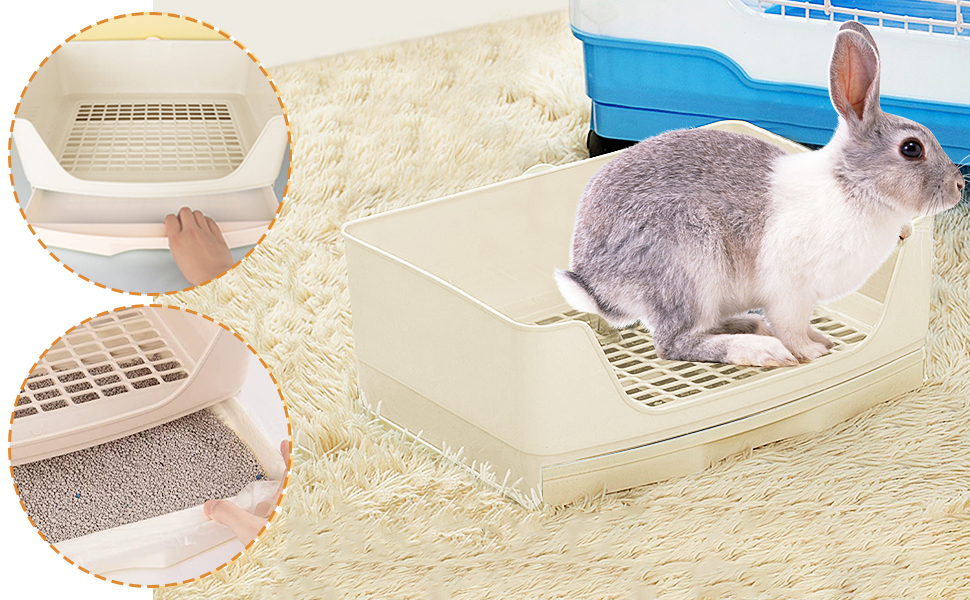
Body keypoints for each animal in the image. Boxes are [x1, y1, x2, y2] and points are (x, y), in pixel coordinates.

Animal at [555, 21, 964, 368]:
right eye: (911, 149)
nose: (959, 186)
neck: (852, 184)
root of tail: (593, 280)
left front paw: (822, 340)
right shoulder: (790, 292)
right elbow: (791, 327)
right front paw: (812, 351)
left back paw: (753, 328)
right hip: (690, 265)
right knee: (675, 343)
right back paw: (761, 349)